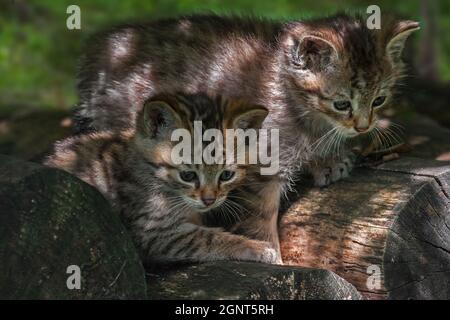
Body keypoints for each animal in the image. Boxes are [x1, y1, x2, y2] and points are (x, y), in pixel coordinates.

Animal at [45, 93, 280, 264]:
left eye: (226, 175)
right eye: (188, 175)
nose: (209, 200)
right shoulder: (153, 232)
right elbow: (209, 237)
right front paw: (258, 248)